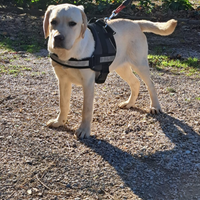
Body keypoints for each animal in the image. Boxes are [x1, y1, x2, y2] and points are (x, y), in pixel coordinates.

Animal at [43, 3, 177, 138]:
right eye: (53, 22)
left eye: (72, 23)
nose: (58, 38)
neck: (69, 54)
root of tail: (135, 23)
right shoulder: (63, 81)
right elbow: (63, 104)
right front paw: (59, 122)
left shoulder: (88, 83)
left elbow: (86, 109)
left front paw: (84, 130)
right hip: (122, 67)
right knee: (135, 82)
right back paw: (129, 103)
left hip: (140, 64)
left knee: (151, 84)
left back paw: (155, 106)